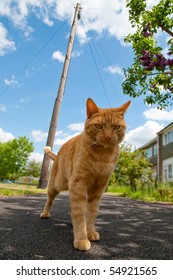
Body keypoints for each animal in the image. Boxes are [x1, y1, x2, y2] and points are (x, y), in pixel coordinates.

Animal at [40, 97, 130, 250]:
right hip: (56, 185)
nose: (107, 137)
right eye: (99, 126)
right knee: (50, 199)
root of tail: (57, 154)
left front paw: (90, 231)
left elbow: (91, 213)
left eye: (116, 127)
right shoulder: (79, 183)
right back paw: (45, 213)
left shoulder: (99, 188)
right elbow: (80, 212)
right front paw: (82, 238)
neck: (102, 157)